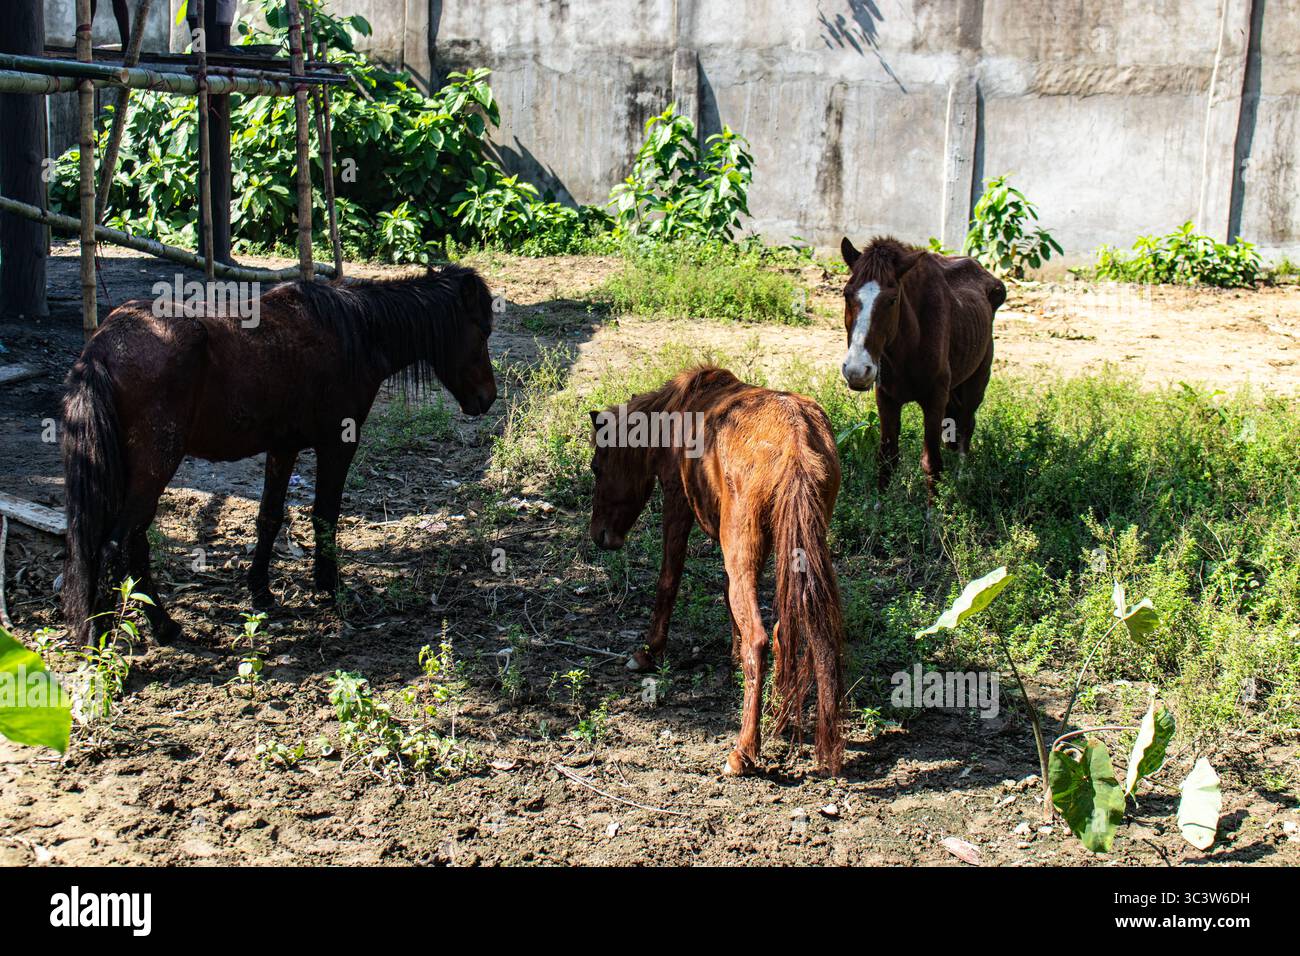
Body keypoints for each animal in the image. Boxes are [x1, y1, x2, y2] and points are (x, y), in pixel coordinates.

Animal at [61, 265, 498, 645]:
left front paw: (260, 591)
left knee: (134, 543)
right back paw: (101, 637)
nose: (488, 399)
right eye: (482, 332)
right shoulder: (338, 444)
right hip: (154, 468)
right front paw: (329, 586)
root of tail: (101, 347)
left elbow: (269, 517)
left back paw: (162, 626)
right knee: (115, 546)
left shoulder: (283, 448)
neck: (357, 331)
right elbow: (325, 515)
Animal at [588, 365, 845, 776]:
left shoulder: (677, 502)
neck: (679, 410)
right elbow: (727, 600)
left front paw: (648, 651)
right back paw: (782, 720)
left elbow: (669, 579)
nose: (599, 536)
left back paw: (744, 751)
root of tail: (796, 441)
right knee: (789, 631)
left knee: (761, 637)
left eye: (598, 467)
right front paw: (733, 653)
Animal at [839, 236, 1006, 494]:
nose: (857, 371)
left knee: (966, 426)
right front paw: (879, 504)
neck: (907, 346)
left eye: (892, 300)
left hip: (977, 382)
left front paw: (935, 505)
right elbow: (886, 459)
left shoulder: (935, 400)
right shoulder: (886, 399)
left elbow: (932, 464)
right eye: (847, 294)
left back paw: (961, 478)